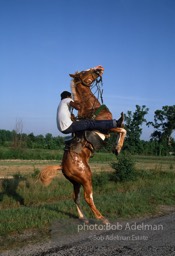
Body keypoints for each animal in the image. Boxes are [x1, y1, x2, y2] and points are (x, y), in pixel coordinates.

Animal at [38, 65, 126, 223]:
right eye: (85, 72)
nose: (99, 68)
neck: (91, 107)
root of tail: (62, 166)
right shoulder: (106, 128)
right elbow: (122, 129)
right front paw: (117, 148)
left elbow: (121, 130)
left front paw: (117, 147)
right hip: (86, 178)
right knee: (87, 197)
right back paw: (102, 218)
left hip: (76, 182)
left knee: (76, 197)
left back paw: (83, 217)